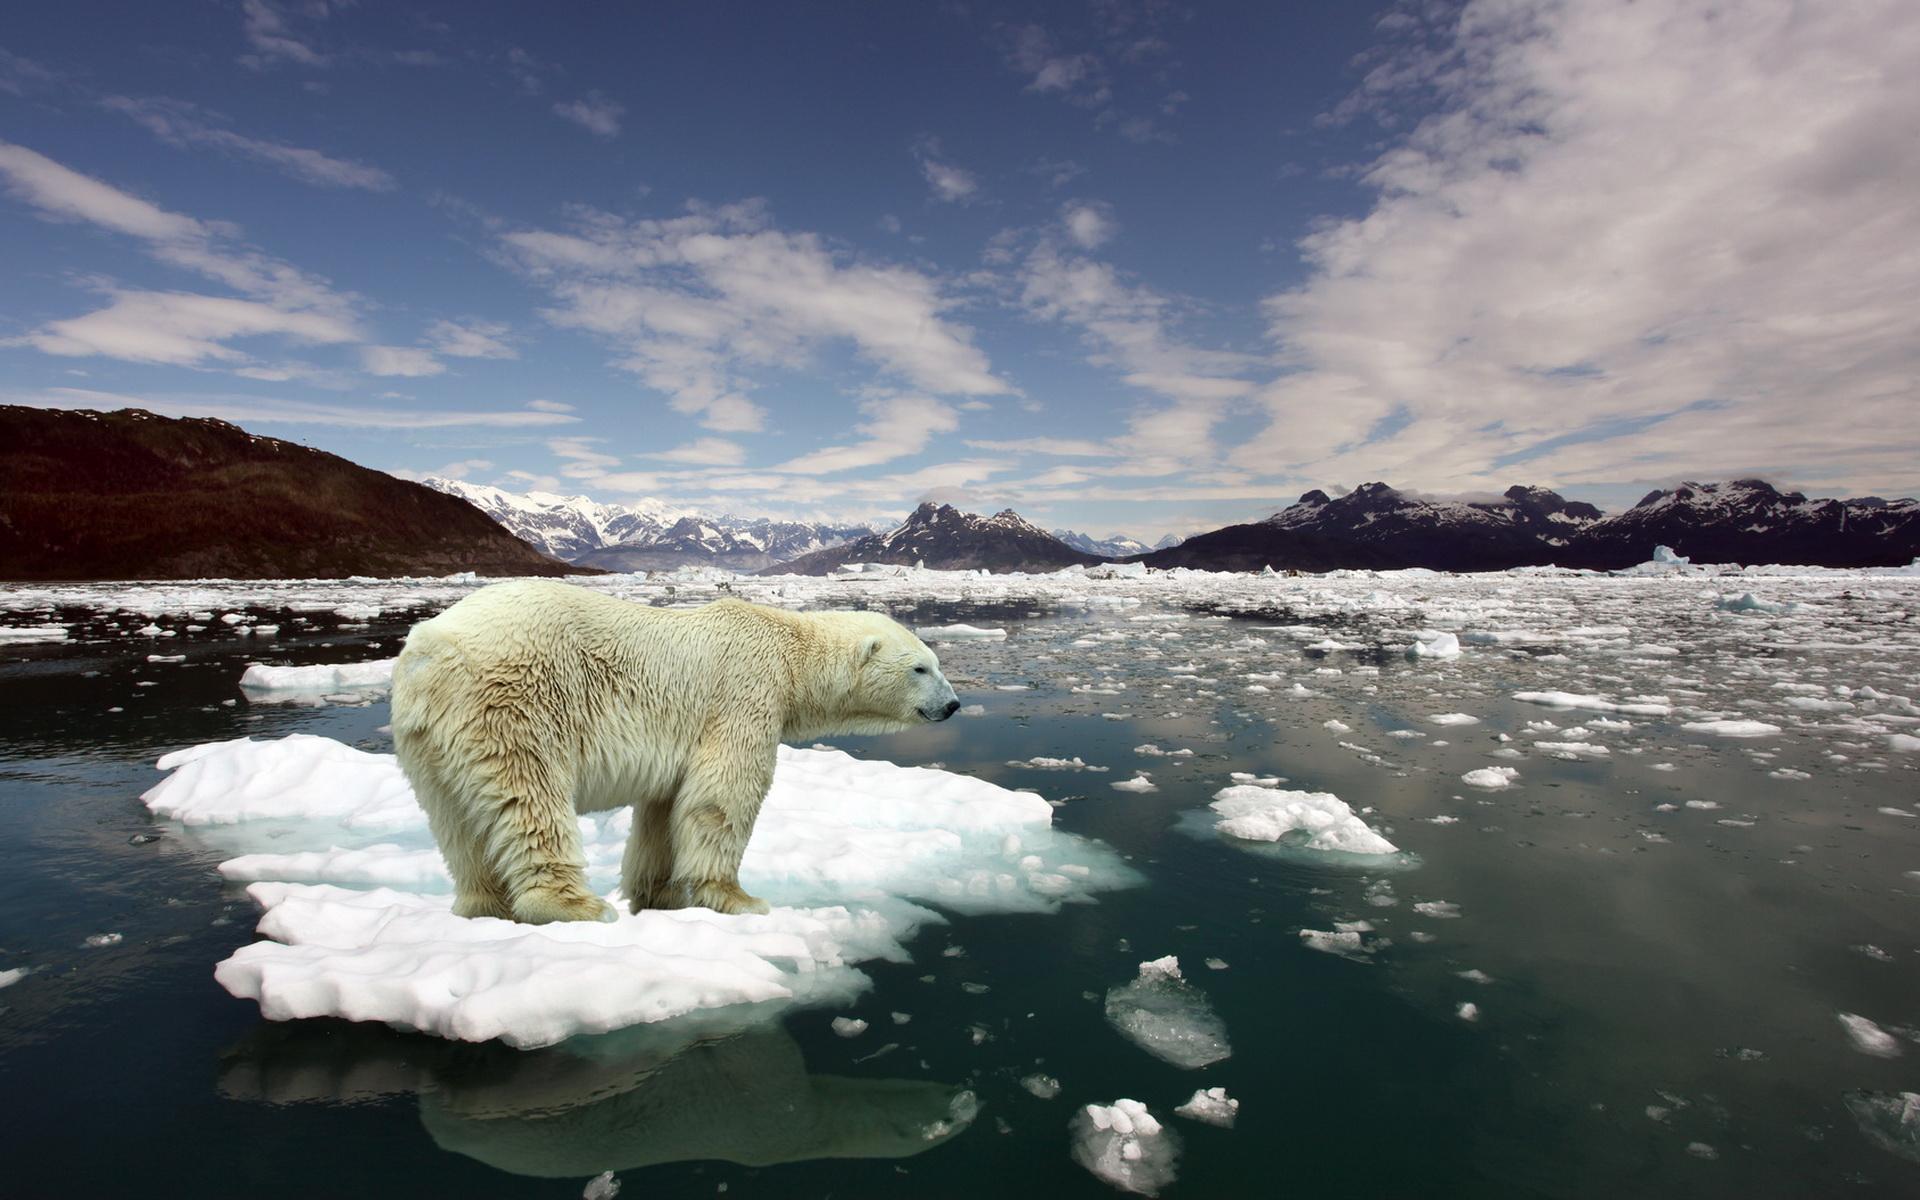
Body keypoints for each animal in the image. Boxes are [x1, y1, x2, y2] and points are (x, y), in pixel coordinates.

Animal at [389, 576, 960, 921]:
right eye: (921, 668)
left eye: (936, 662)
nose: (953, 705)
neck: (789, 650)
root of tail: (430, 650)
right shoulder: (744, 693)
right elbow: (722, 796)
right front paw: (740, 899)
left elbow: (664, 811)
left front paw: (657, 895)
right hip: (514, 703)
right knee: (530, 798)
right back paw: (575, 906)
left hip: (426, 739)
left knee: (456, 822)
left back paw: (484, 906)